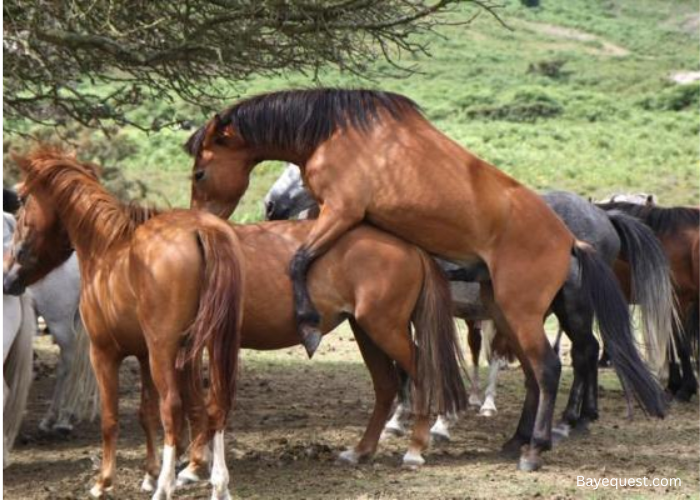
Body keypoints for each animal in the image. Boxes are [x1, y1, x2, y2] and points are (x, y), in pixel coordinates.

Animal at [3, 148, 246, 500]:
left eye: (22, 202)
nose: (8, 278)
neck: (106, 248)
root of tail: (202, 232)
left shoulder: (104, 353)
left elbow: (111, 417)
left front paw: (104, 481)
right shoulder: (142, 355)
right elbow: (145, 413)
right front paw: (149, 474)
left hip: (164, 352)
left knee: (173, 408)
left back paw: (167, 486)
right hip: (211, 347)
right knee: (216, 404)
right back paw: (218, 484)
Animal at [263, 164, 674, 442]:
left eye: (301, 168)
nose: (270, 205)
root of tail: (602, 215)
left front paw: (424, 420)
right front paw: (403, 419)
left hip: (572, 306)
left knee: (585, 352)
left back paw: (571, 421)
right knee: (585, 352)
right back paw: (582, 417)